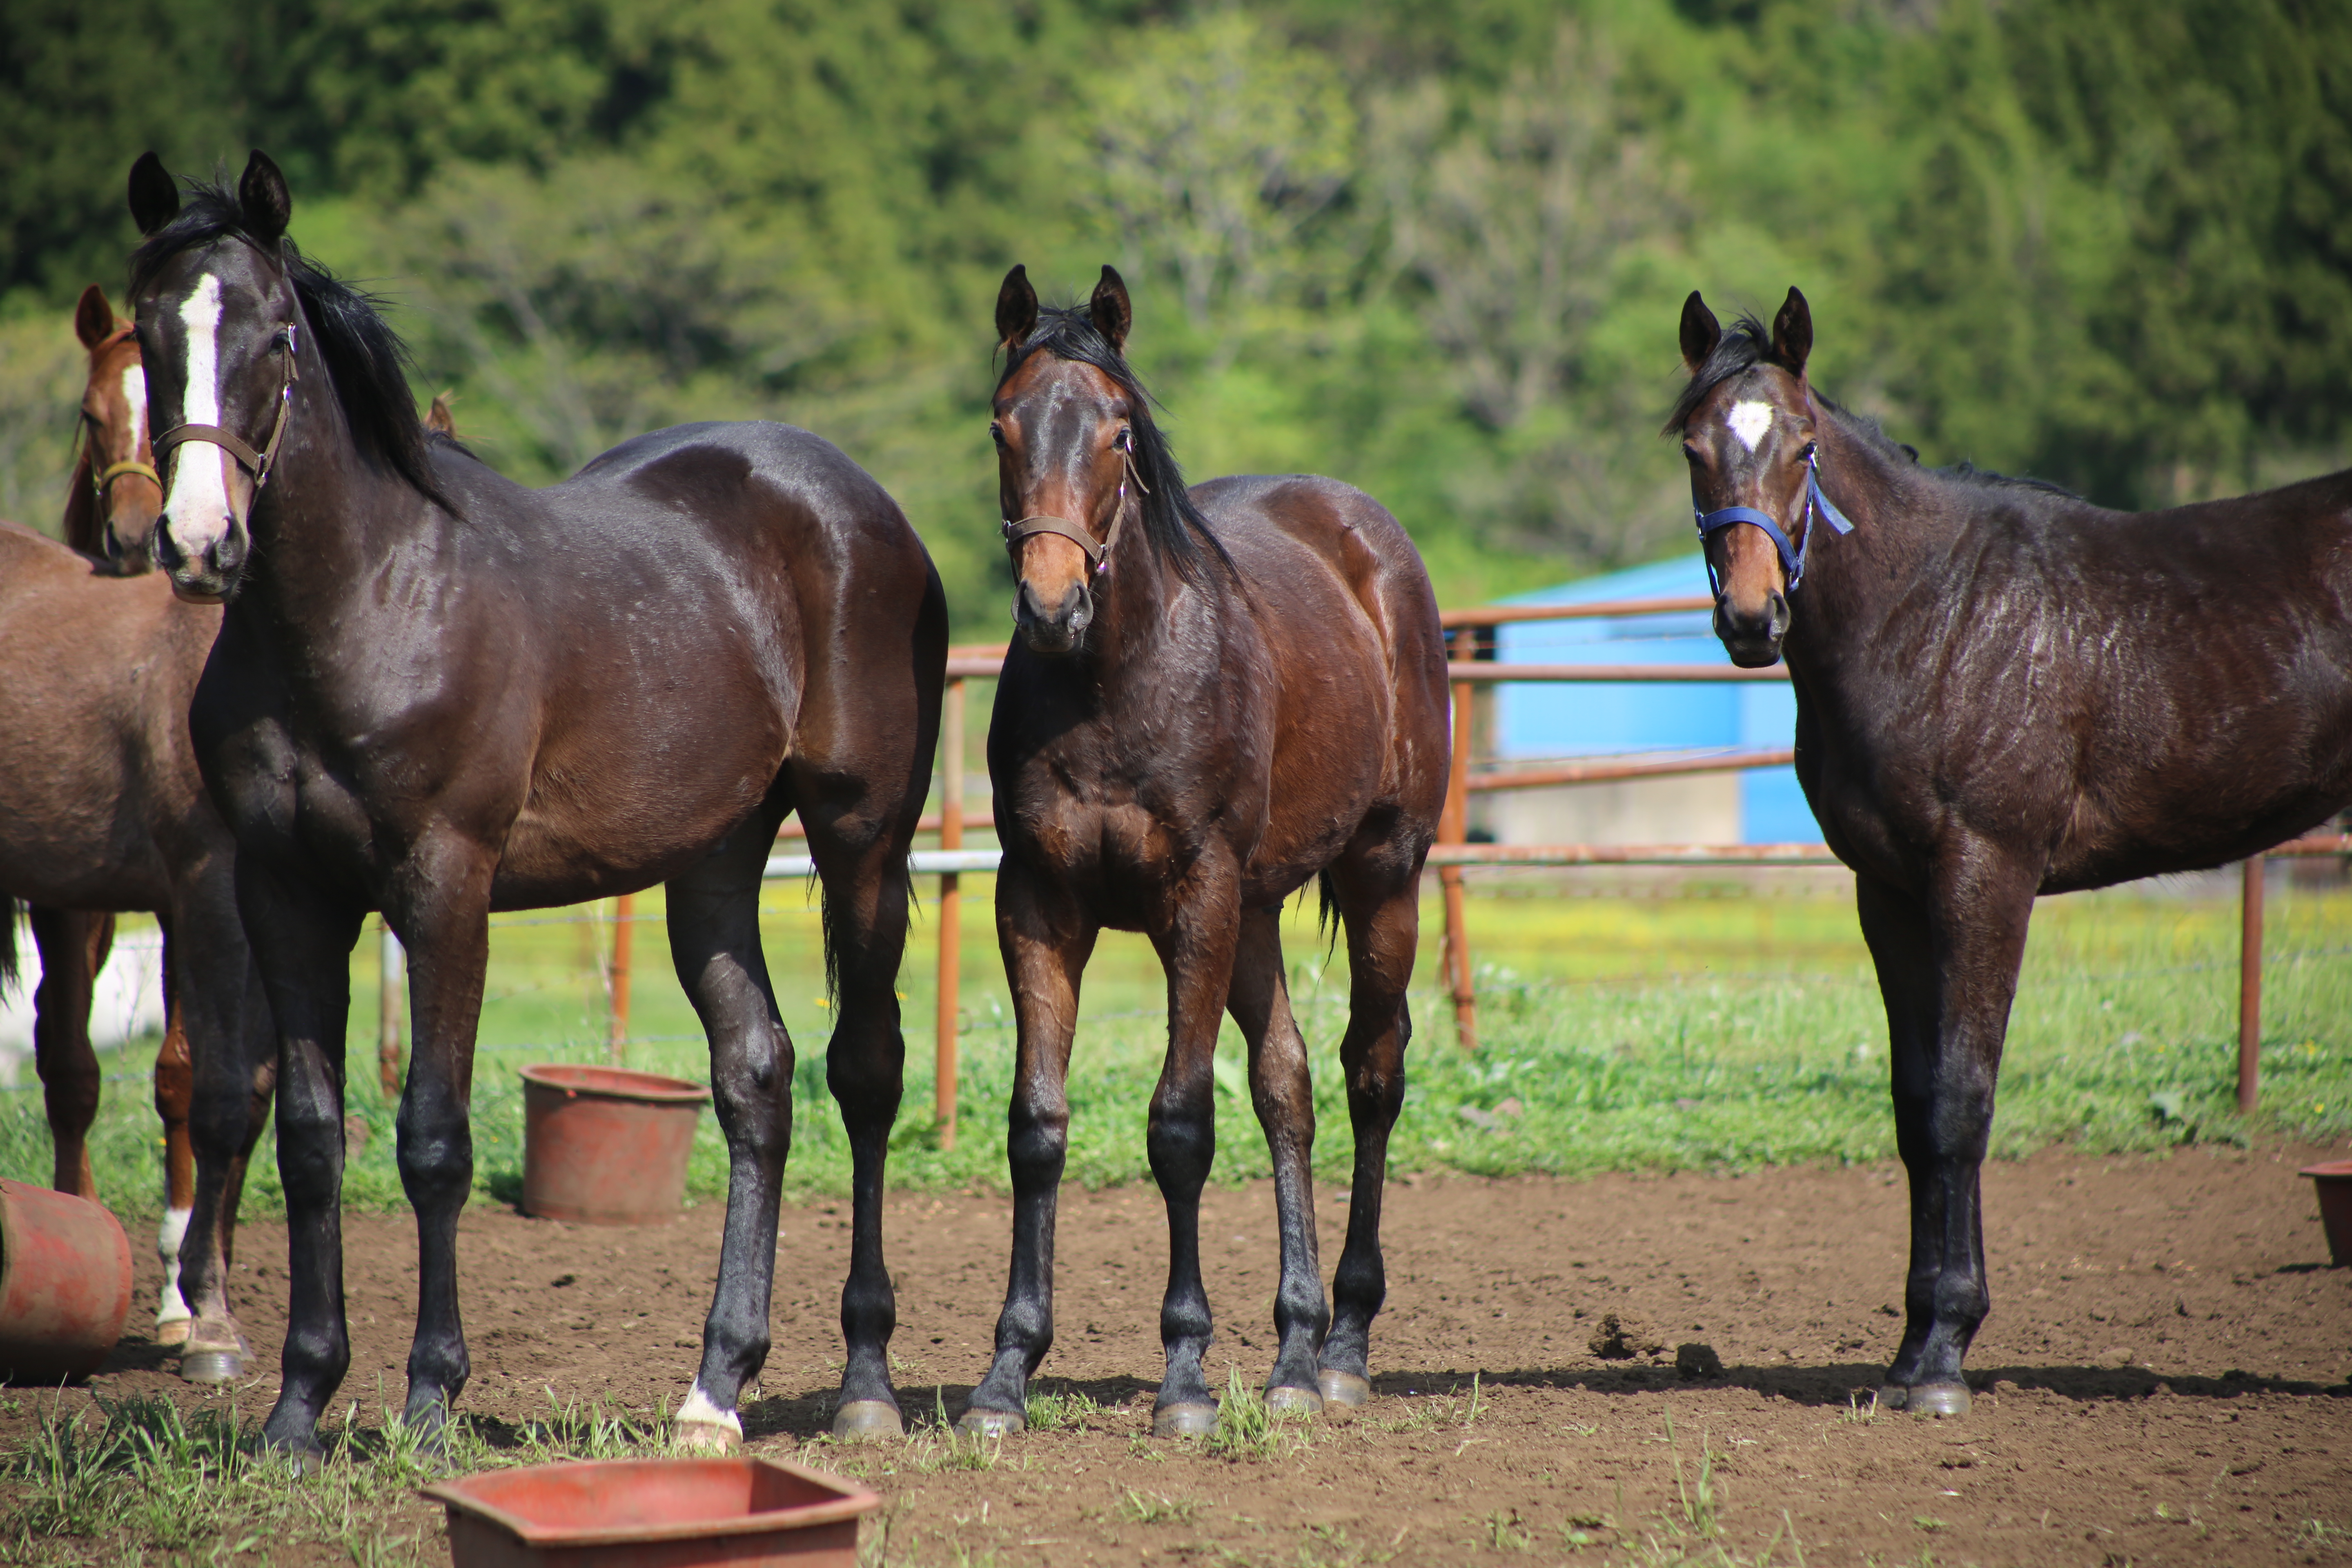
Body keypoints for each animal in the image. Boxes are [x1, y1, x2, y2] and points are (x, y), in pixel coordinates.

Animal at [0, 282, 275, 1363]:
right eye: (89, 415)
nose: (138, 539)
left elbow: (215, 1083)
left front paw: (193, 1294)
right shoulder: (153, 895)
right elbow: (103, 1073)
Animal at [126, 153, 945, 1457]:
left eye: (275, 336)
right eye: (153, 333)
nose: (202, 543)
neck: (368, 600)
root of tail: (863, 507)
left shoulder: (444, 883)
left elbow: (433, 1138)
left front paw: (429, 1398)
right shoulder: (285, 893)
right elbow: (312, 1139)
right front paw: (300, 1404)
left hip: (862, 836)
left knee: (863, 1072)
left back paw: (864, 1379)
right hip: (713, 863)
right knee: (756, 1076)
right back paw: (715, 1387)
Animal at [960, 267, 1449, 1439]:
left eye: (1119, 431)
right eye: (1002, 425)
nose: (1052, 604)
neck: (1115, 677)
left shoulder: (1198, 895)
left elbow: (1179, 1126)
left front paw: (1183, 1375)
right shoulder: (1037, 901)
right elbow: (1037, 1125)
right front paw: (1007, 1373)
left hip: (1382, 877)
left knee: (1372, 1073)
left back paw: (1345, 1347)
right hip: (1258, 915)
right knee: (1289, 1087)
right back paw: (1293, 1355)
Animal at [1675, 288, 2352, 1420]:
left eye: (1803, 445)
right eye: (1692, 448)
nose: (1749, 617)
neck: (1934, 614)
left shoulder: (1984, 873)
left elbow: (1962, 1097)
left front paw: (1945, 1355)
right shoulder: (1890, 893)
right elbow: (1916, 1107)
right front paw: (1913, 1349)